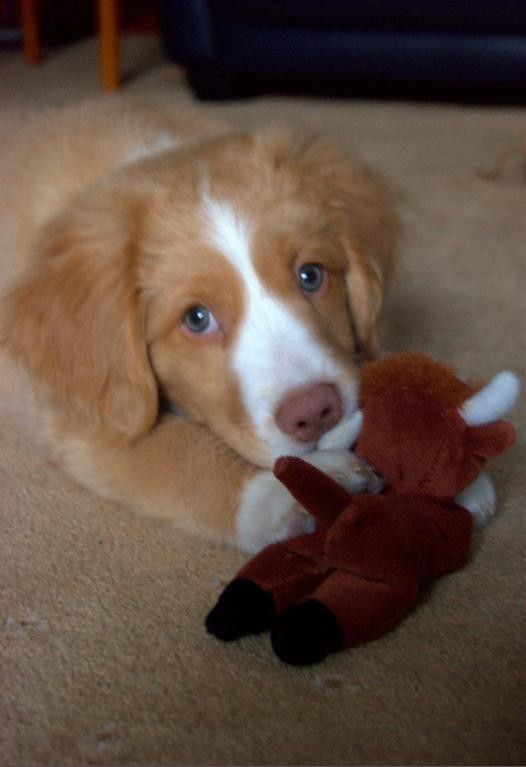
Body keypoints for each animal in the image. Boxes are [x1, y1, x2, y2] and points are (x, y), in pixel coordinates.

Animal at [0, 99, 400, 552]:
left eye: (311, 275)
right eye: (197, 318)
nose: (315, 411)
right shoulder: (91, 412)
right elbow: (180, 453)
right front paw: (285, 491)